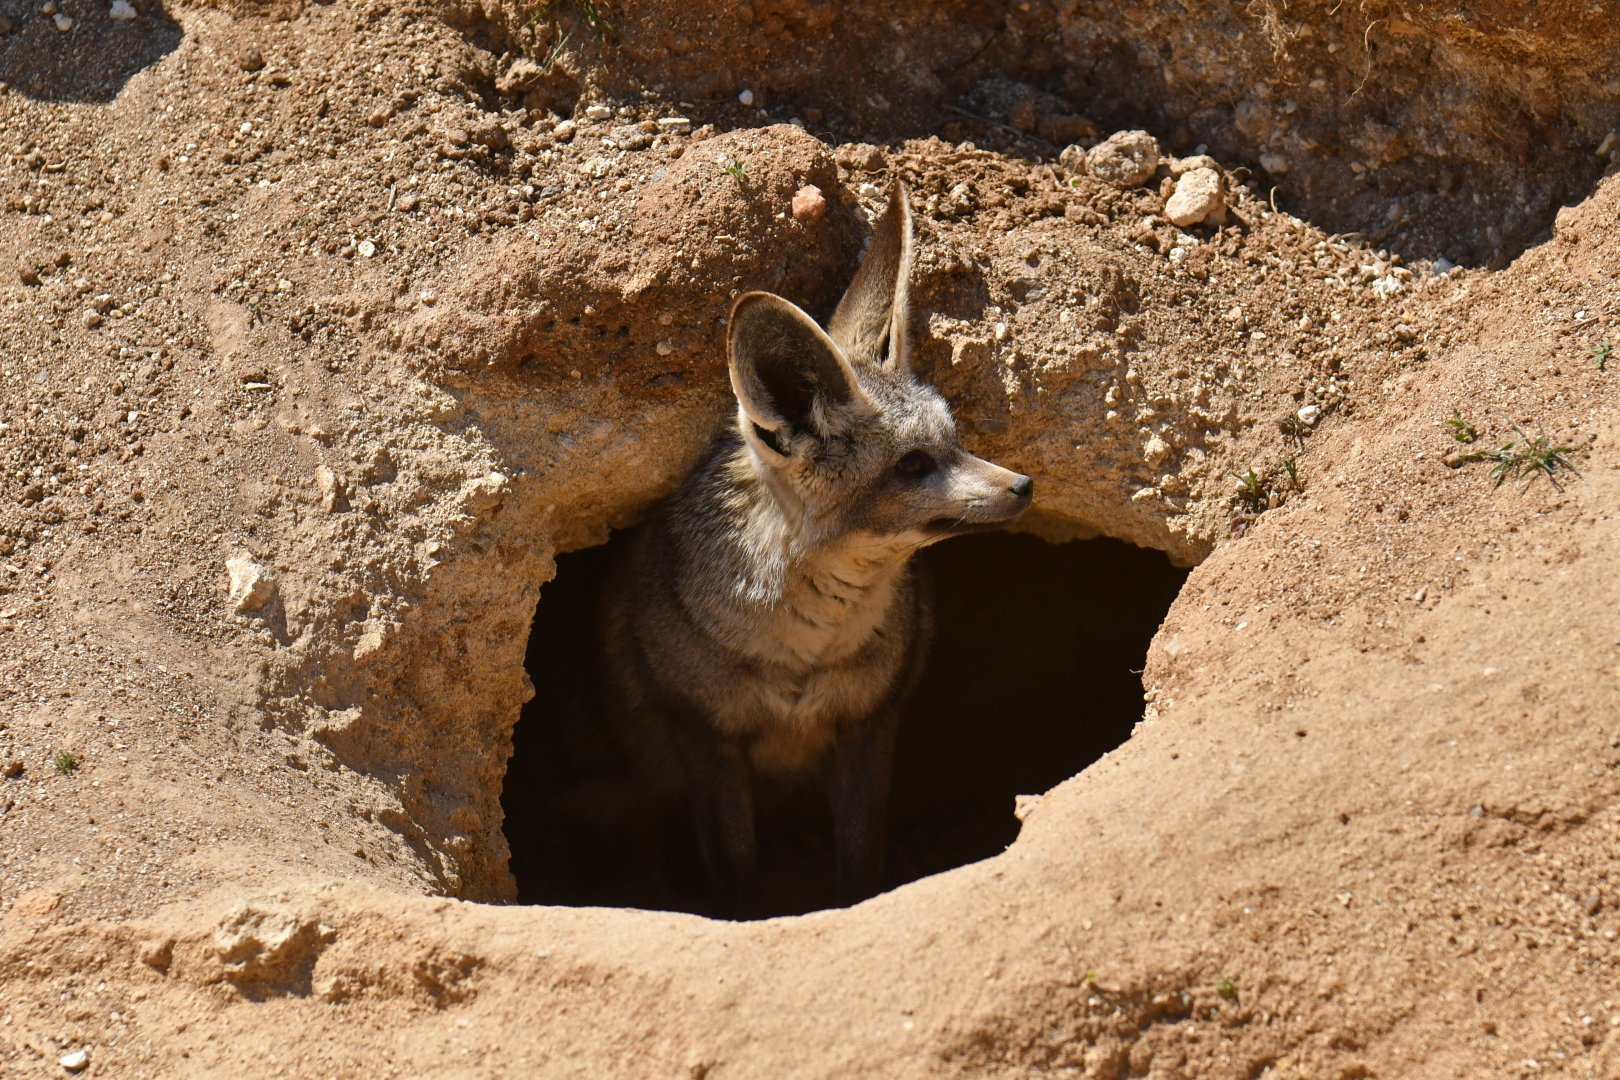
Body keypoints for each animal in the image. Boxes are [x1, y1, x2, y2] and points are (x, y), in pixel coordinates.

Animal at [600, 181, 1032, 909]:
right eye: (913, 465)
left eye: (955, 441)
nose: (1024, 486)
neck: (807, 651)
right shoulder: (705, 739)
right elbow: (735, 871)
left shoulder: (870, 725)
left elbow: (859, 861)